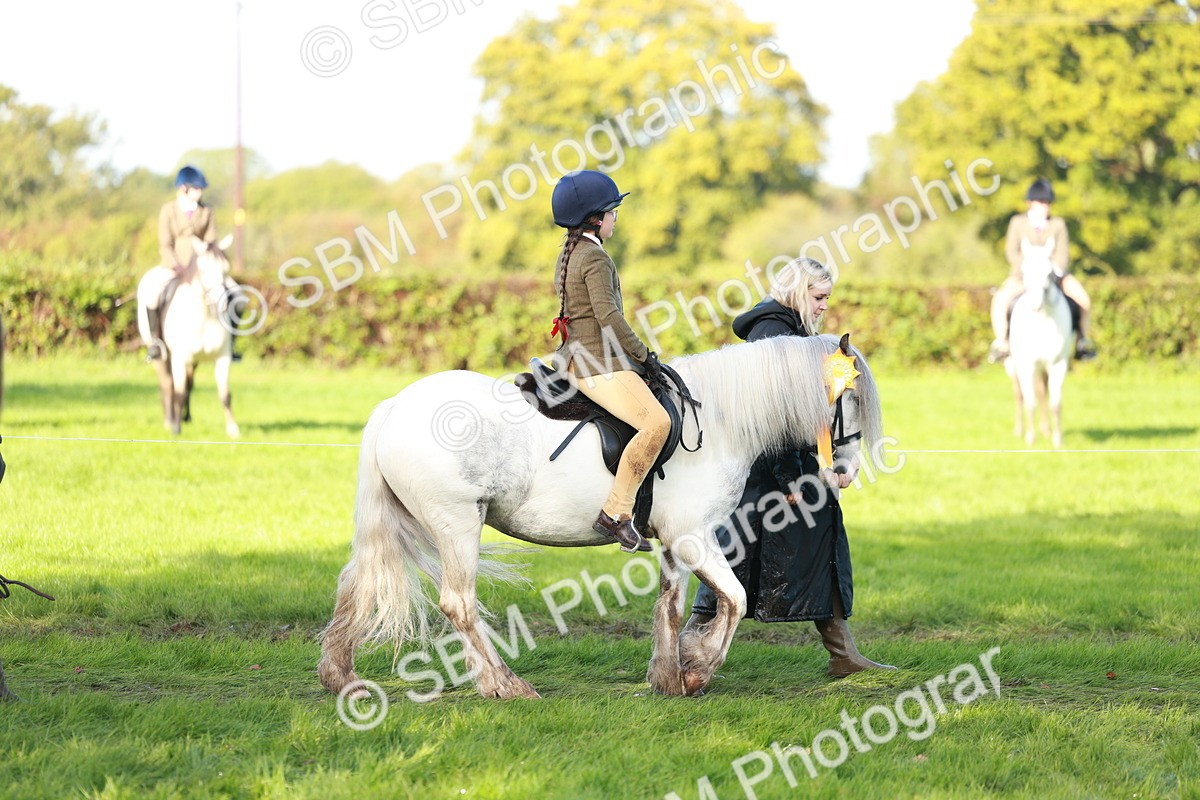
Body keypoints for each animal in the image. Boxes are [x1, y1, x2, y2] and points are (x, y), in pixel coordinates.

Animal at [150, 234, 241, 438]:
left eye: (226, 269)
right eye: (204, 269)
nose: (222, 304)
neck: (205, 316)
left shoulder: (223, 357)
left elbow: (225, 394)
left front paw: (233, 429)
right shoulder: (179, 358)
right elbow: (178, 391)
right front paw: (176, 429)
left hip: (194, 361)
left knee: (189, 384)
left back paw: (186, 418)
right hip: (162, 356)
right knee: (168, 384)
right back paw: (169, 420)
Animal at [317, 333, 884, 700]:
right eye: (851, 397)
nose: (846, 471)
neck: (721, 420)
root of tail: (396, 405)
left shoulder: (675, 543)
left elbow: (670, 606)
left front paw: (668, 676)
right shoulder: (695, 538)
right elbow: (737, 599)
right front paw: (698, 670)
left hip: (405, 522)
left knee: (356, 582)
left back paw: (341, 678)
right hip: (456, 524)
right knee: (458, 603)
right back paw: (505, 685)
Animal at [1004, 238, 1073, 448]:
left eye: (1049, 273)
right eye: (1024, 272)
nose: (1035, 304)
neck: (1042, 320)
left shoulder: (1058, 364)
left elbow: (1055, 403)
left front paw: (1057, 440)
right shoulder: (1027, 365)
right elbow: (1030, 402)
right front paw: (1030, 438)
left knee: (1042, 392)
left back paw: (1046, 429)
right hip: (1012, 364)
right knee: (1019, 394)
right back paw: (1020, 430)